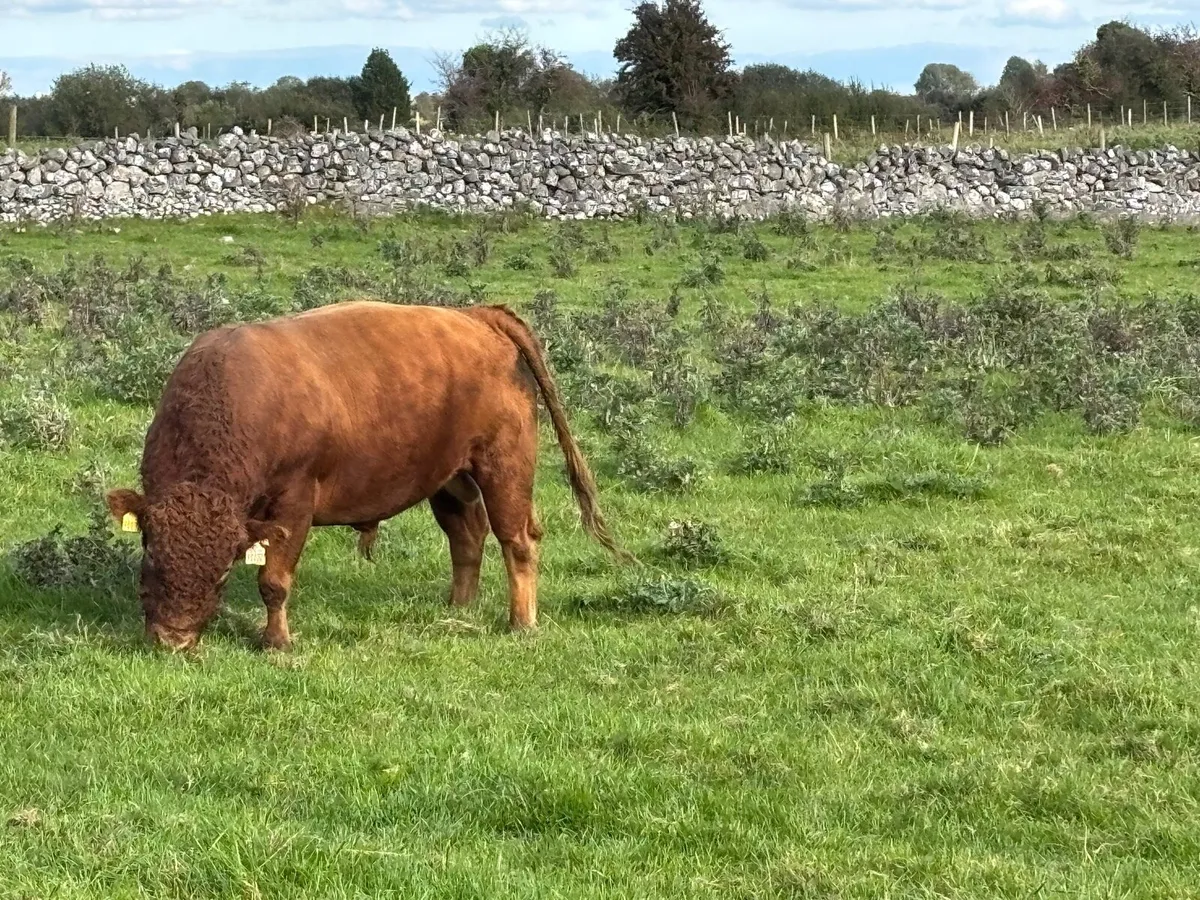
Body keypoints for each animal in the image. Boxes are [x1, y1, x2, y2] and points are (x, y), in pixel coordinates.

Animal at [105, 300, 629, 651]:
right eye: (151, 561)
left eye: (219, 577)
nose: (173, 640)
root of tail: (477, 316)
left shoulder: (293, 506)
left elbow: (274, 580)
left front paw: (277, 643)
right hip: (450, 478)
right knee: (467, 536)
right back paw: (458, 607)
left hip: (505, 466)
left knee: (517, 539)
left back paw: (520, 623)